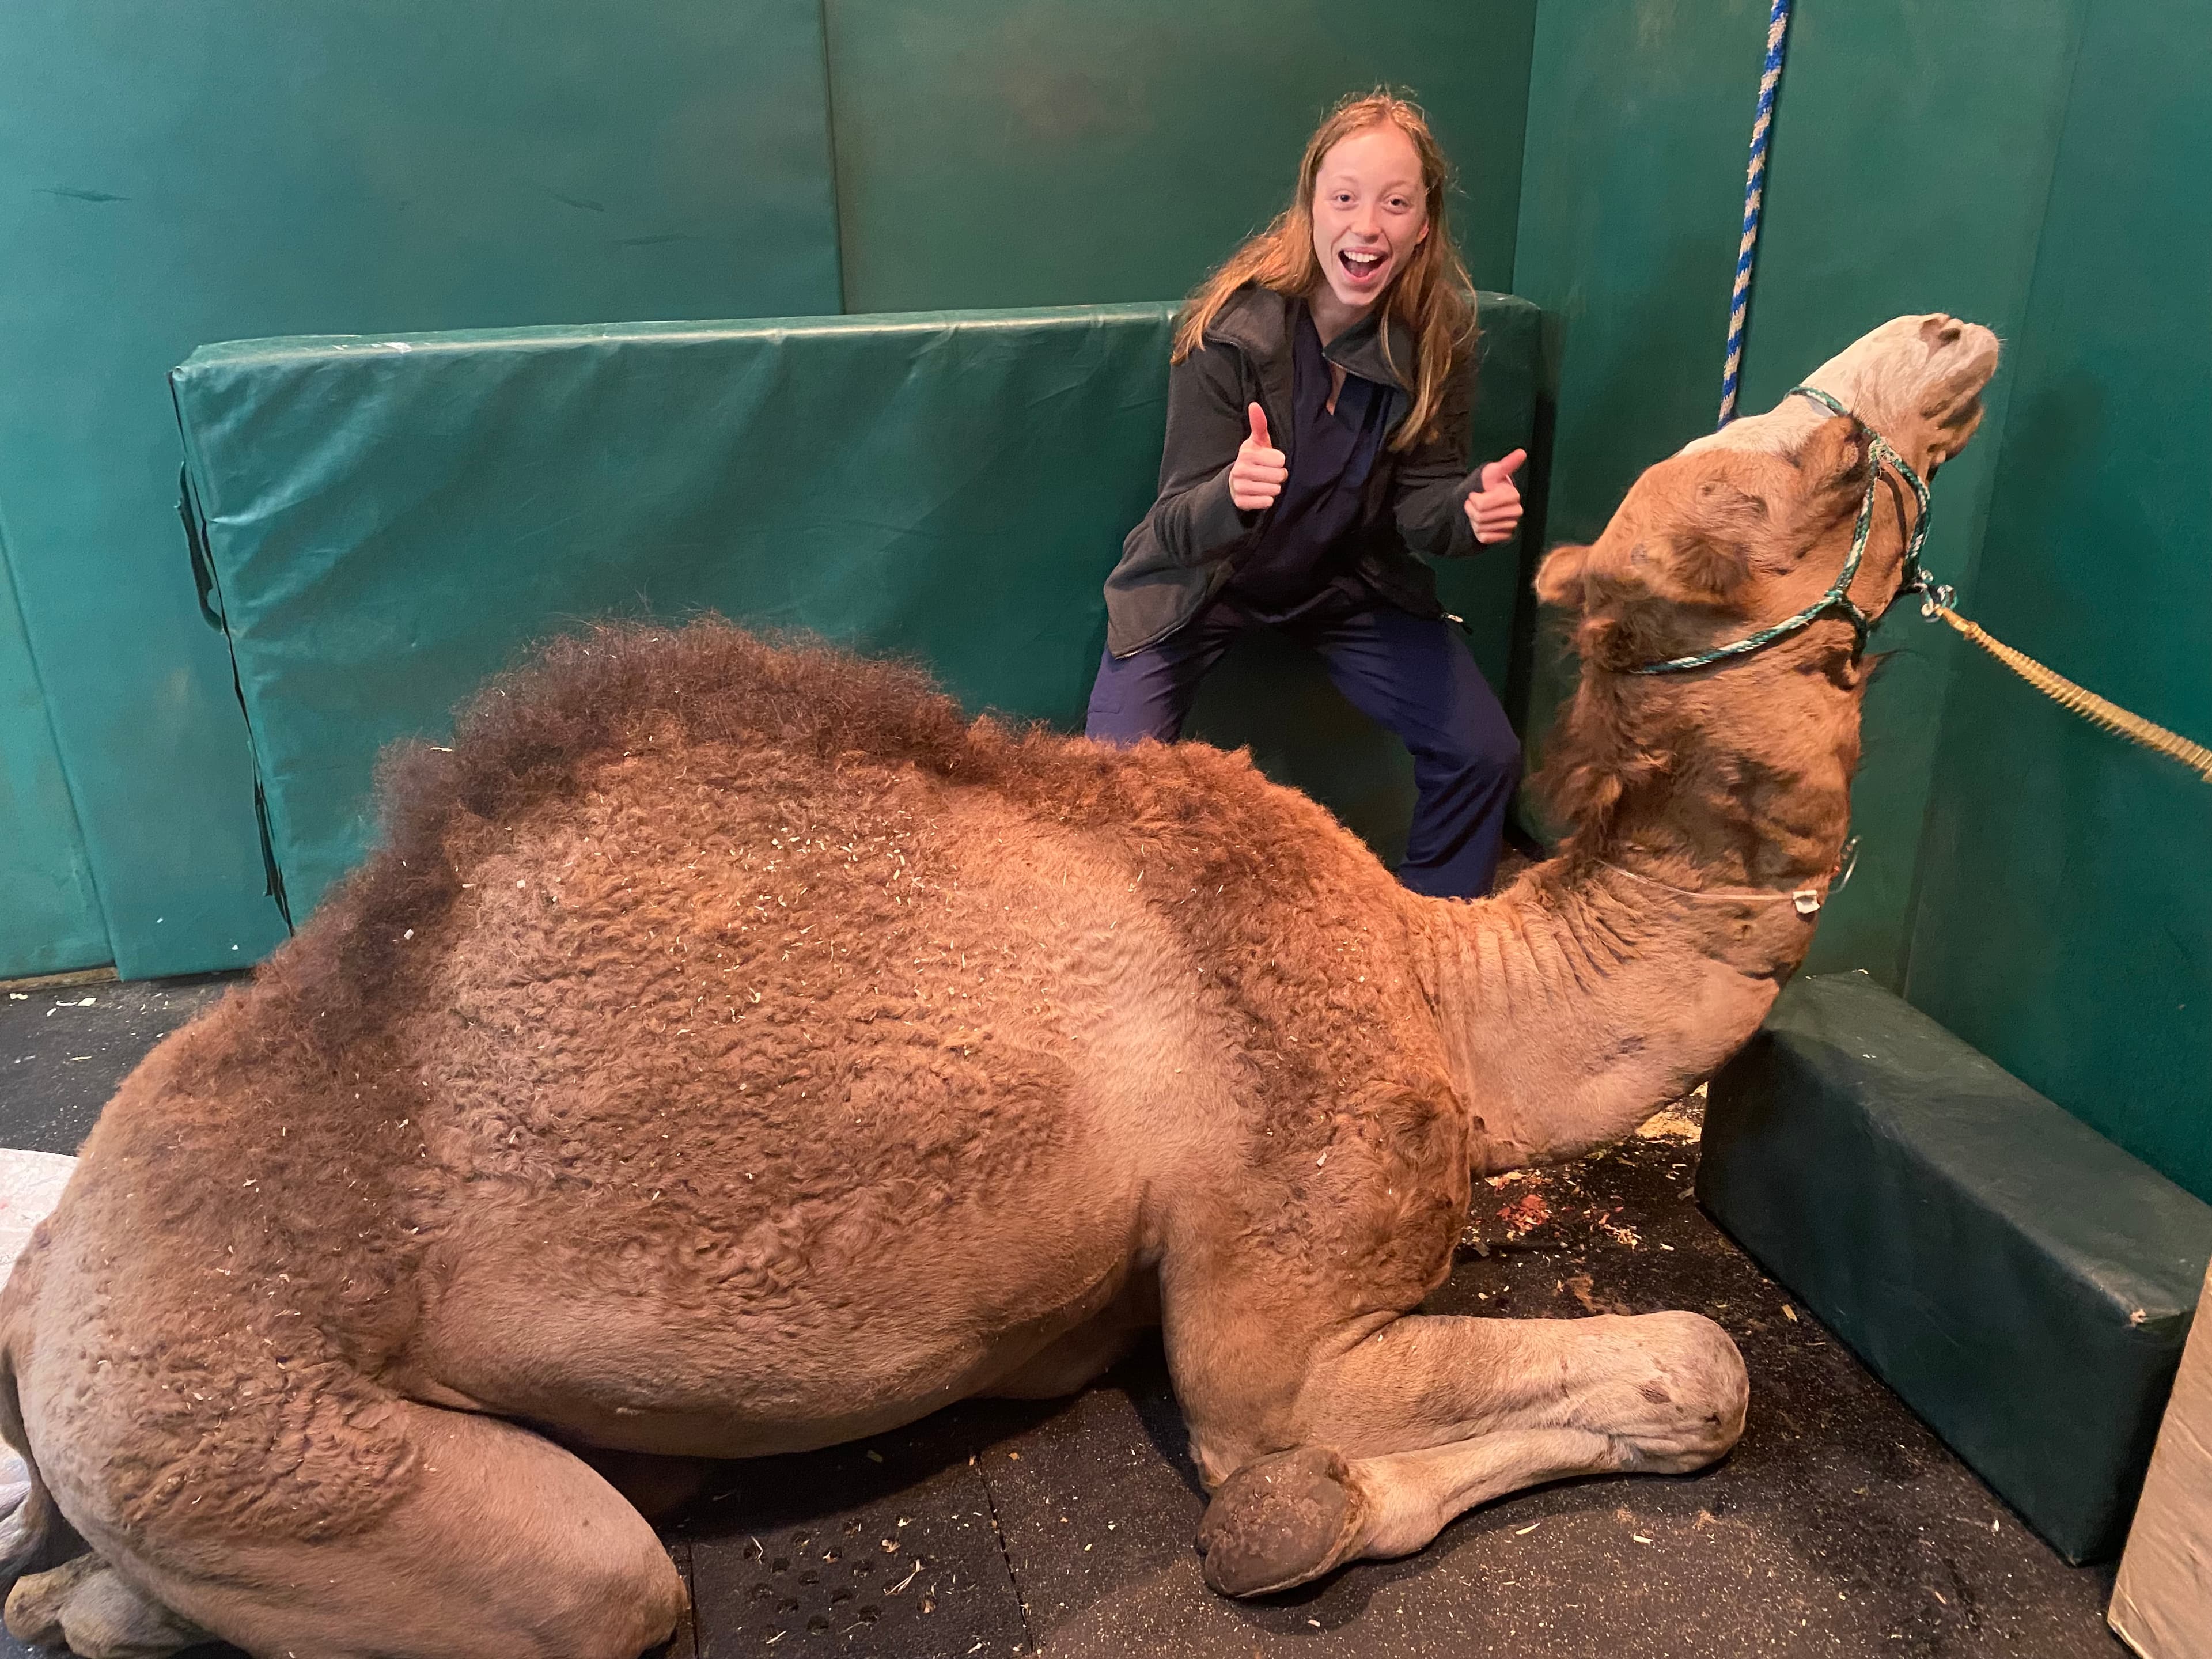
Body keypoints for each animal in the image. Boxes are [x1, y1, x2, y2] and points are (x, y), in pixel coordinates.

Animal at [0, 313, 1997, 1658]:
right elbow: (1684, 1369)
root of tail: (51, 1286)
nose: (1950, 340)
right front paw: (1291, 1523)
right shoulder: (1275, 1296)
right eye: (1790, 476)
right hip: (226, 1420)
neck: (1439, 987)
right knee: (593, 1584)